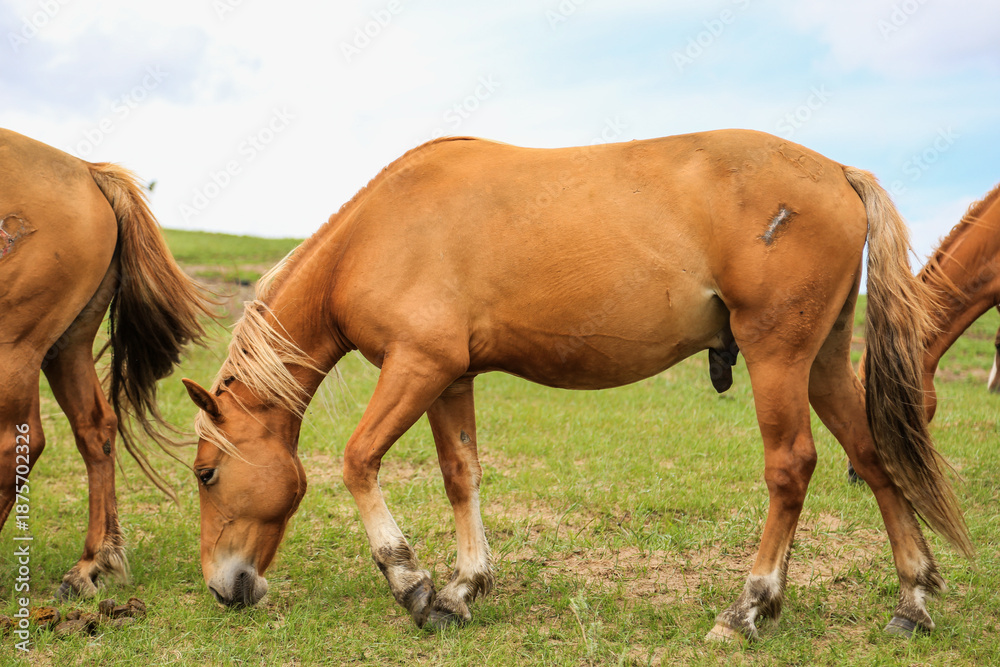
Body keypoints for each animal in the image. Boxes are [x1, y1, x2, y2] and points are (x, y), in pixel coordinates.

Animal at [0, 128, 213, 598]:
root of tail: (88, 171)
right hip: (68, 344)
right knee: (95, 428)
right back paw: (90, 563)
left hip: (14, 345)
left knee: (18, 442)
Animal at [182, 130, 971, 642]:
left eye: (207, 472)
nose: (224, 588)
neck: (377, 233)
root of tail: (838, 170)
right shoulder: (449, 378)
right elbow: (462, 475)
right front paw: (464, 587)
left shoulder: (417, 366)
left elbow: (356, 461)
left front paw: (412, 584)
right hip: (824, 364)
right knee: (874, 458)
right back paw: (912, 598)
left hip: (778, 358)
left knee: (791, 469)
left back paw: (748, 607)